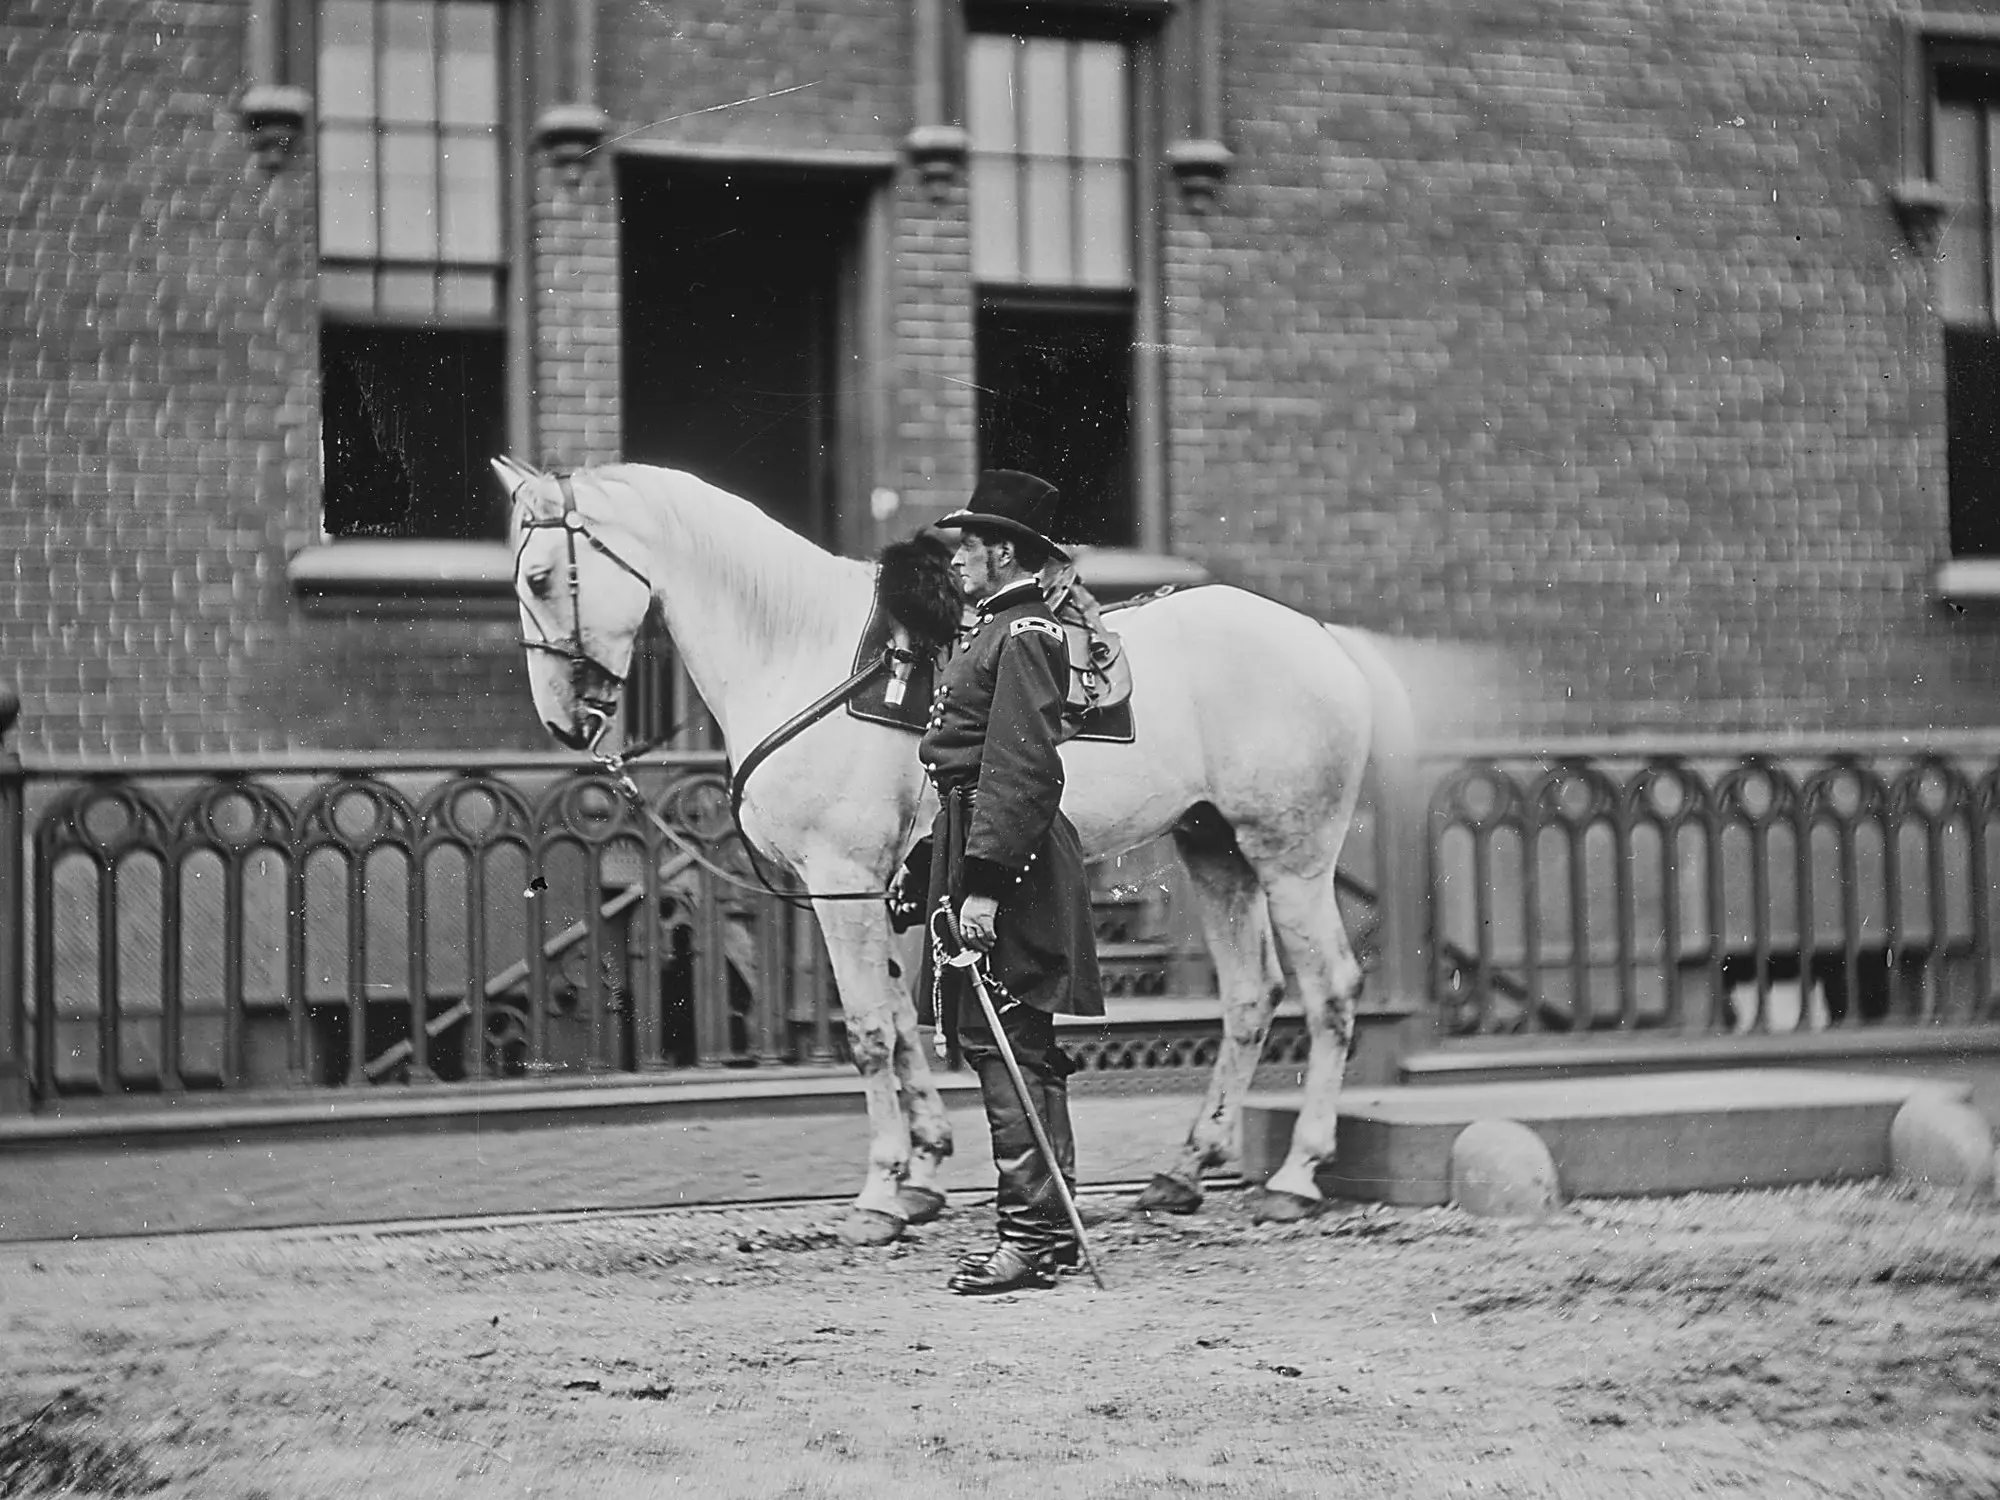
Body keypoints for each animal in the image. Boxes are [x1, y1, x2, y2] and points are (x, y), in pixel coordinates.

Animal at [498, 458, 1408, 1248]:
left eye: (541, 578)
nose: (564, 723)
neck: (807, 651)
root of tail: (1324, 639)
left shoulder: (841, 879)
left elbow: (869, 1028)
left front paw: (879, 1193)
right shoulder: (876, 891)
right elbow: (903, 1021)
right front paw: (925, 1174)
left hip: (1290, 856)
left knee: (1330, 992)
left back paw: (1296, 1176)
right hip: (1213, 847)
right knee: (1252, 998)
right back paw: (1185, 1171)